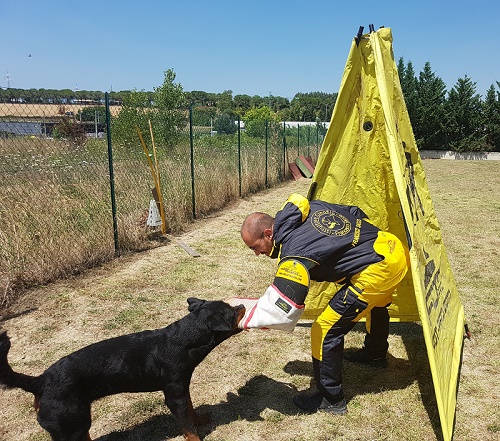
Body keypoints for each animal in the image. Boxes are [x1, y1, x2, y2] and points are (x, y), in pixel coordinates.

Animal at [0, 296, 245, 440]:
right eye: (232, 313)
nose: (242, 305)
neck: (180, 341)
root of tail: (40, 381)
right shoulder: (174, 396)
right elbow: (188, 428)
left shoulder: (182, 388)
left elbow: (191, 410)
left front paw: (200, 420)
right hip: (72, 424)